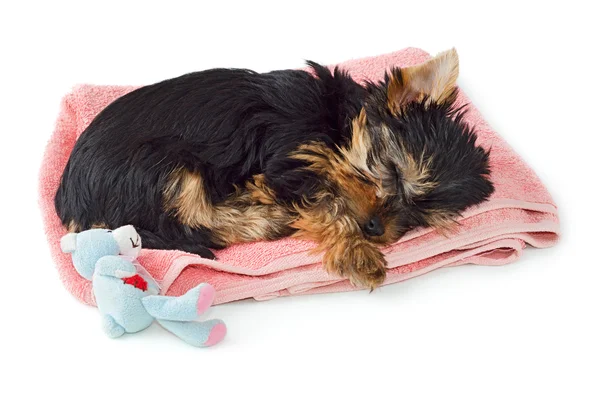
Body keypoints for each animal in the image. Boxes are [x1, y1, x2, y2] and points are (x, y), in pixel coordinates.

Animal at [55, 48, 492, 288]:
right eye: (393, 171)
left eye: (418, 217)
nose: (375, 228)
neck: (337, 123)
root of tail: (72, 201)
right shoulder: (290, 159)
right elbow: (329, 203)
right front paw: (358, 254)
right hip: (162, 164)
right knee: (191, 220)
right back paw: (268, 219)